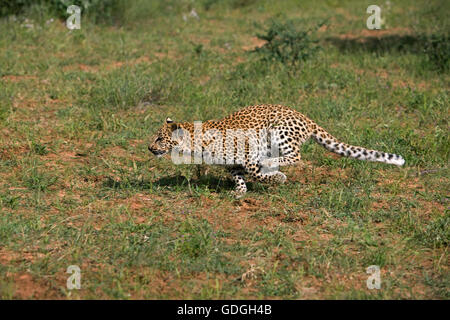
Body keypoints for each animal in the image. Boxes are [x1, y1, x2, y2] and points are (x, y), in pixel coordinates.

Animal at [149, 104, 406, 196]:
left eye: (160, 138)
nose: (149, 148)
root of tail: (306, 118)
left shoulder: (247, 150)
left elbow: (255, 172)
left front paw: (277, 178)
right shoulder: (232, 163)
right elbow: (240, 176)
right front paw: (240, 192)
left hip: (279, 131)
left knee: (295, 156)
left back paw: (274, 165)